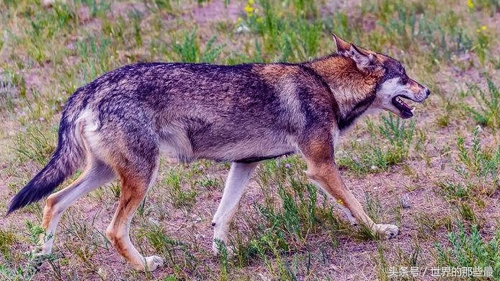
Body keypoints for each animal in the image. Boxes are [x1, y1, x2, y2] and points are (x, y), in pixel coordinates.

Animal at [6, 34, 430, 270]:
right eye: (405, 75)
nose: (428, 90)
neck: (325, 86)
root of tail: (90, 87)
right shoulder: (321, 167)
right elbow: (357, 206)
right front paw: (379, 231)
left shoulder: (244, 164)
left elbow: (221, 216)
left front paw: (223, 254)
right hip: (141, 177)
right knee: (111, 229)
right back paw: (144, 266)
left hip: (108, 172)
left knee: (53, 201)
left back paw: (41, 257)